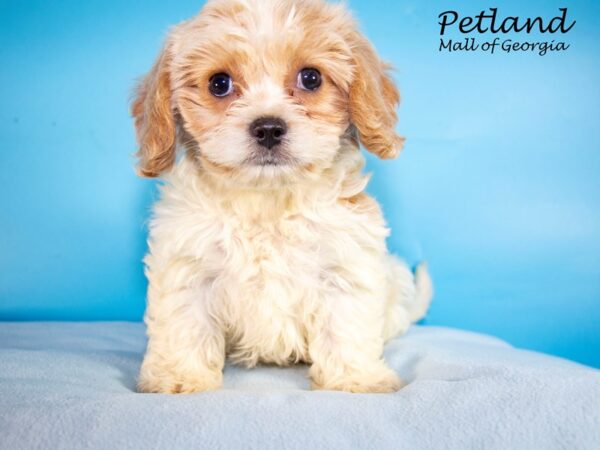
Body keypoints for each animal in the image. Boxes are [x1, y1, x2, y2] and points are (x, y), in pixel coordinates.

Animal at [132, 0, 432, 394]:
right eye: (219, 84)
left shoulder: (345, 265)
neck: (268, 202)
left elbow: (345, 326)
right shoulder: (187, 265)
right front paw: (180, 377)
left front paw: (355, 379)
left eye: (311, 78)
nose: (269, 128)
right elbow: (185, 323)